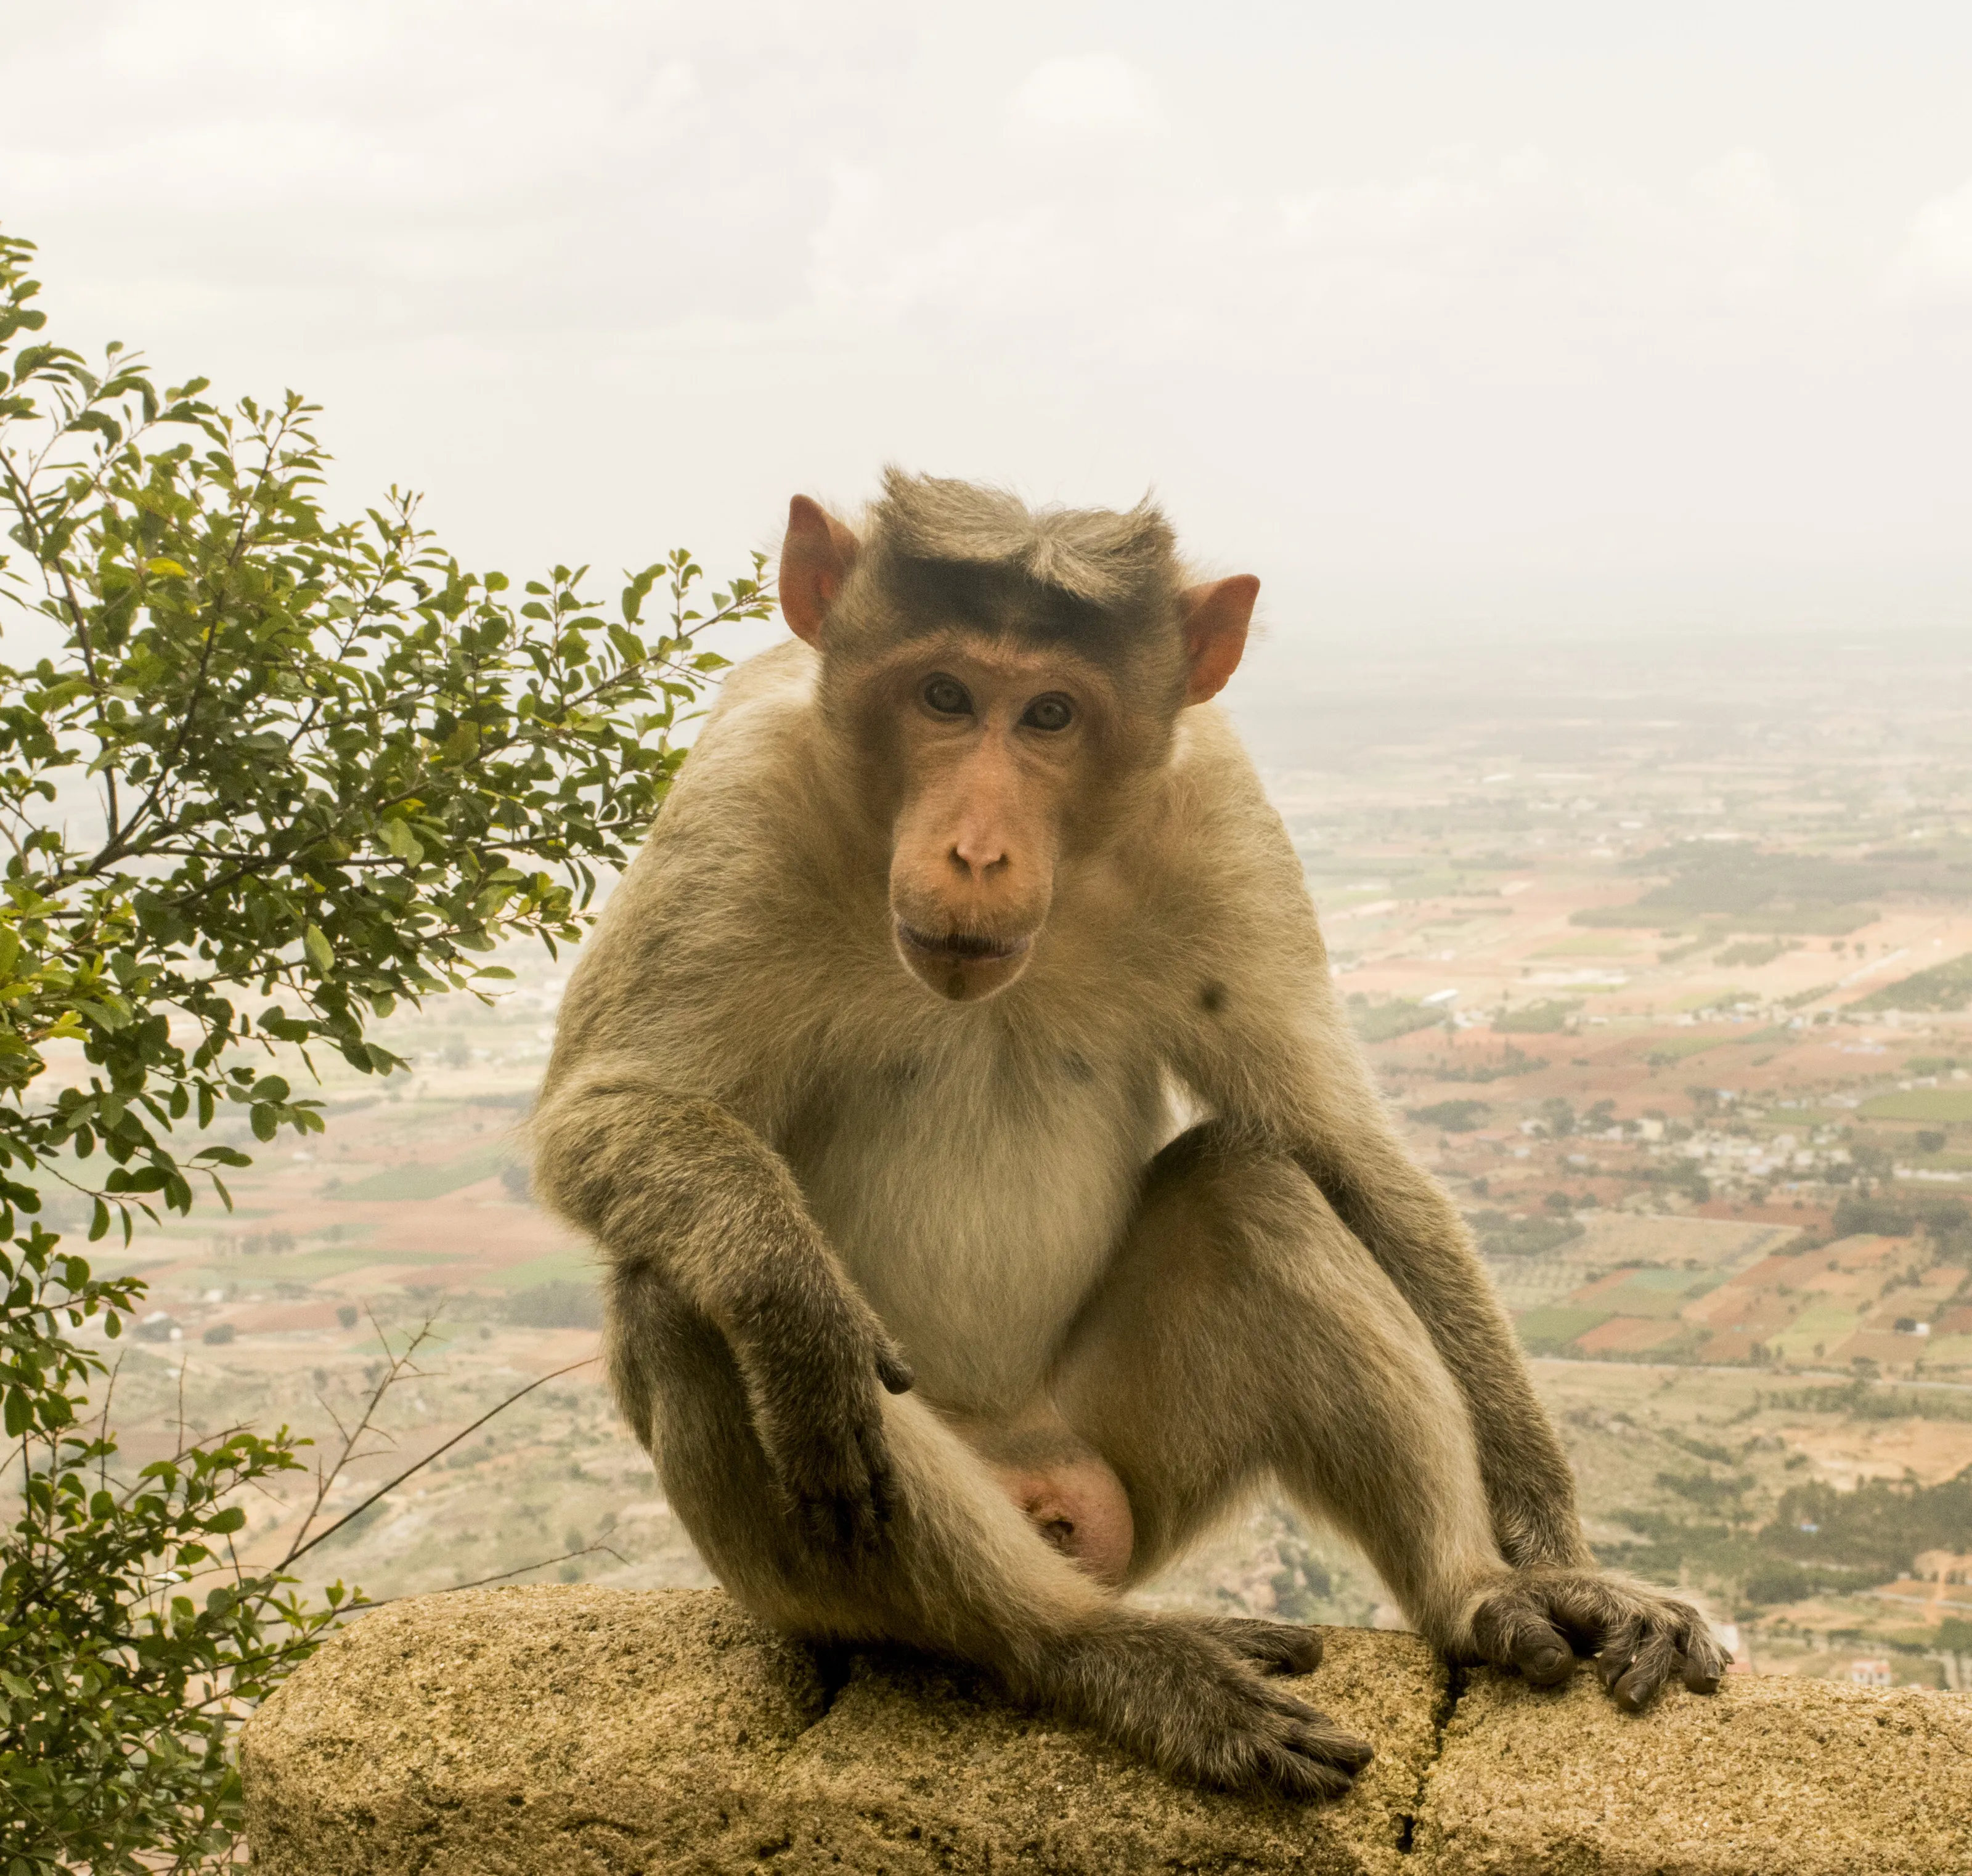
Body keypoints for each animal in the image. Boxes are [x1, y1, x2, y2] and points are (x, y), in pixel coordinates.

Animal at [531, 470, 1726, 1802]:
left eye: (1051, 713)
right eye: (943, 696)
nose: (978, 850)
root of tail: (1035, 1477)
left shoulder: (1220, 818)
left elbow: (1344, 1154)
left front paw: (1561, 1560)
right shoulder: (738, 799)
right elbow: (605, 1112)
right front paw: (797, 1306)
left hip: (1130, 1466)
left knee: (1254, 1187)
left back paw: (1473, 1598)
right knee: (685, 1295)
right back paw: (1101, 1652)